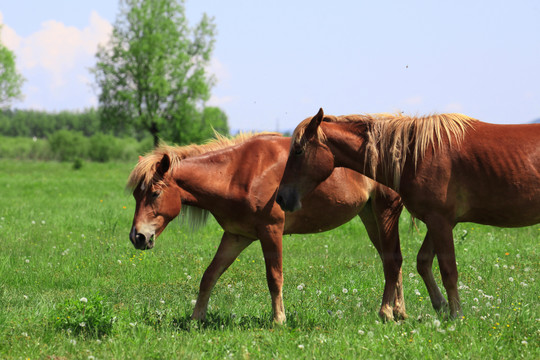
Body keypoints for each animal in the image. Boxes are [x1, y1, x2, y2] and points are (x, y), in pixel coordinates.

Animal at [127, 132, 404, 324]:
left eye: (154, 193)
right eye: (135, 195)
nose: (137, 237)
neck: (238, 174)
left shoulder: (271, 231)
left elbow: (274, 277)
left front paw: (279, 319)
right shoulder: (236, 236)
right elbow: (209, 275)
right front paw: (196, 318)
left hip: (385, 213)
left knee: (392, 261)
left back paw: (388, 313)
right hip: (370, 218)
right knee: (391, 262)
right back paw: (399, 311)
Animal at [278, 108, 540, 320]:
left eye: (298, 150)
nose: (281, 197)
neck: (418, 154)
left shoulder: (440, 221)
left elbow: (448, 270)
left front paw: (456, 315)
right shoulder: (441, 221)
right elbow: (423, 262)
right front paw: (441, 306)